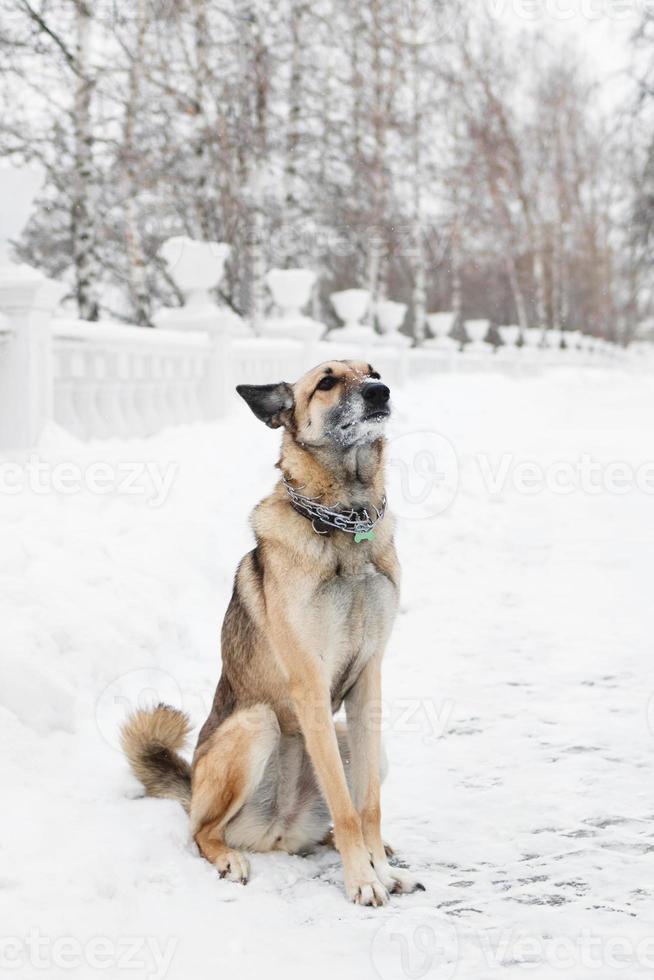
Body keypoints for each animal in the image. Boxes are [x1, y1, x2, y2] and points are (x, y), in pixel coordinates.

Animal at [121, 358, 426, 904]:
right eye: (326, 382)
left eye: (372, 370)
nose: (381, 391)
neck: (346, 521)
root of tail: (279, 834)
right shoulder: (309, 685)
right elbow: (346, 804)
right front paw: (363, 880)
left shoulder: (368, 682)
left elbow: (366, 803)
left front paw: (382, 872)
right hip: (256, 724)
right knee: (201, 831)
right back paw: (229, 857)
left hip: (353, 739)